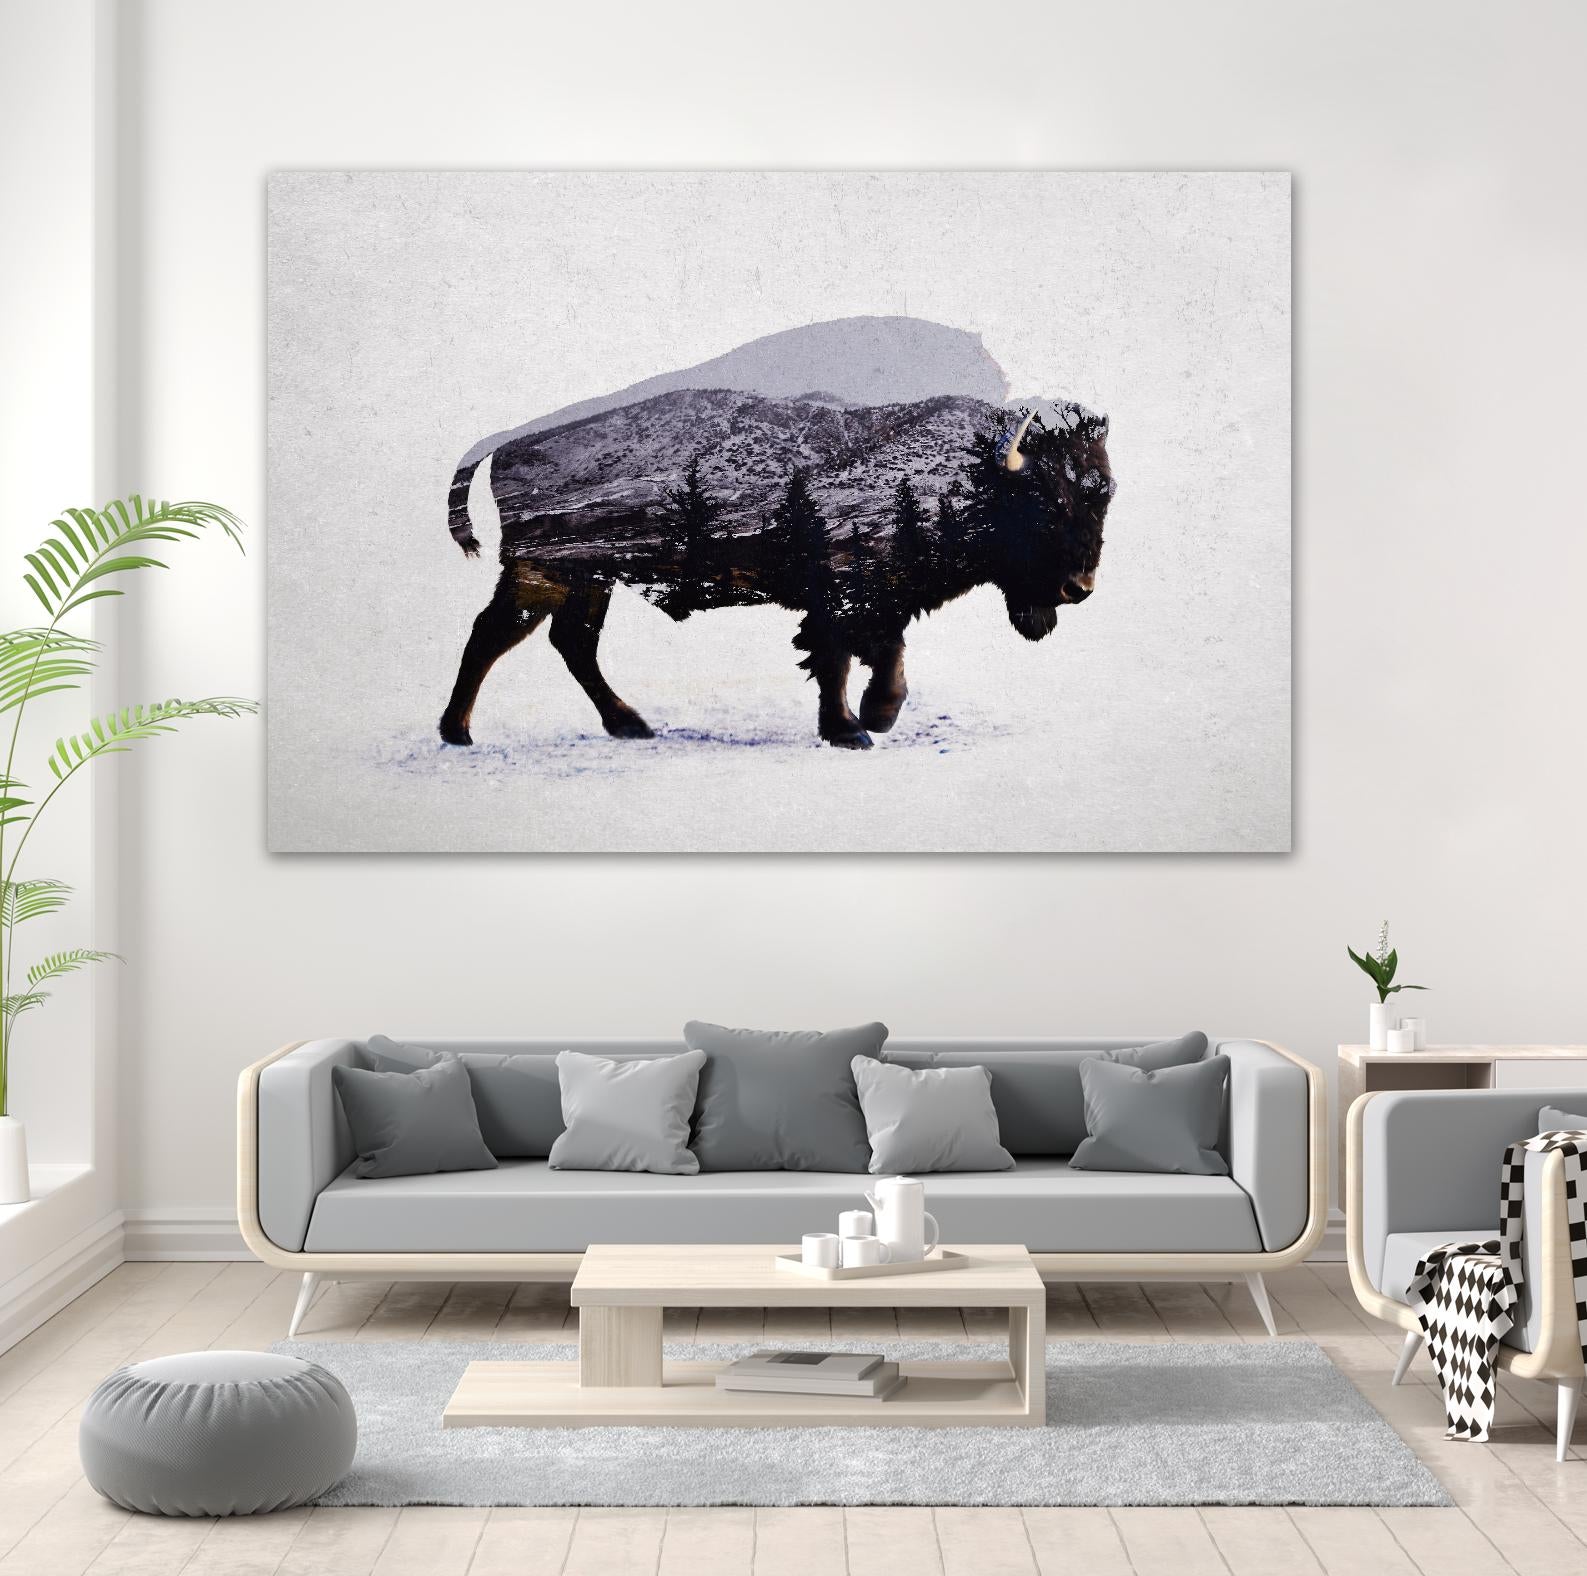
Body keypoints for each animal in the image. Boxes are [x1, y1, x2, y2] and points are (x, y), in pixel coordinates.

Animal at [439, 385, 1114, 750]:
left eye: (1104, 495)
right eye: (1046, 502)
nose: (1077, 588)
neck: (971, 469)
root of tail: (507, 442)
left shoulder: (880, 602)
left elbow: (884, 657)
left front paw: (876, 717)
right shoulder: (844, 596)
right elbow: (839, 657)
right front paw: (853, 729)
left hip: (588, 580)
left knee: (571, 642)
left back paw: (630, 725)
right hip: (542, 574)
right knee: (494, 635)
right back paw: (458, 733)